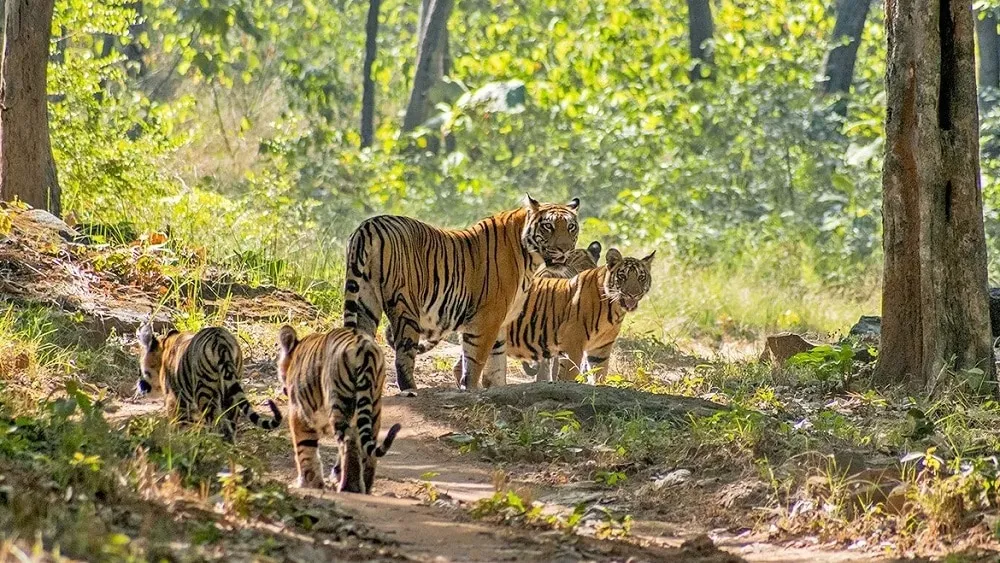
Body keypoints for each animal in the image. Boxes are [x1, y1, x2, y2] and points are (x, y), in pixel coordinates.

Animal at [136, 325, 282, 441]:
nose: (140, 385)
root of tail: (220, 342)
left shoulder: (174, 400)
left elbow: (178, 425)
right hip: (231, 391)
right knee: (230, 424)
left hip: (205, 391)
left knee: (217, 424)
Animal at [276, 325, 402, 493]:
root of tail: (364, 348)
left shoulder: (299, 412)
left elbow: (305, 448)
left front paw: (308, 483)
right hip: (374, 406)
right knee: (367, 447)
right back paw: (365, 487)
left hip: (338, 403)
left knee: (348, 442)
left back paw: (349, 487)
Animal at [343, 195, 581, 391]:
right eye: (548, 226)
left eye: (571, 227)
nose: (564, 249)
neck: (530, 259)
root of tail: (370, 225)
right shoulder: (486, 318)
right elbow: (475, 361)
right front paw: (472, 389)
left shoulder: (501, 321)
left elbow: (497, 364)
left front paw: (496, 389)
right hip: (405, 305)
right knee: (404, 353)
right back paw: (409, 389)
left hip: (366, 301)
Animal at [488, 248, 655, 384]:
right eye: (622, 276)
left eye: (641, 277)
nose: (632, 294)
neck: (615, 308)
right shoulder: (572, 345)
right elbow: (569, 374)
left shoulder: (600, 350)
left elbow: (599, 376)